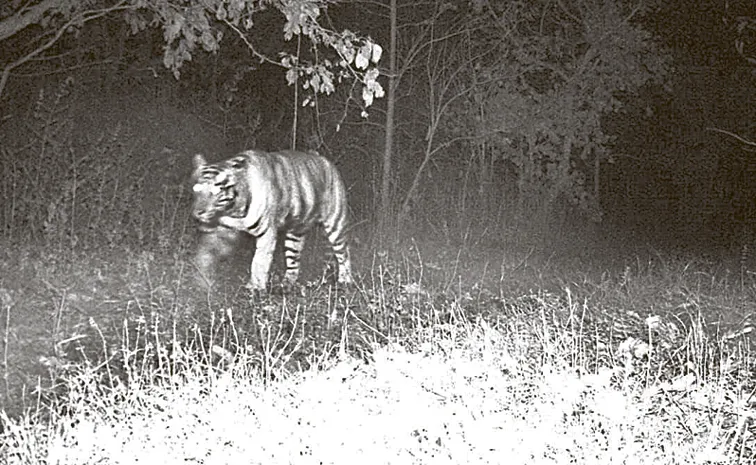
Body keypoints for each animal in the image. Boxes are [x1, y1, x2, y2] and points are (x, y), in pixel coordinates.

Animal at [190, 149, 353, 292]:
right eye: (196, 190)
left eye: (215, 192)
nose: (197, 213)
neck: (234, 211)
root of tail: (323, 159)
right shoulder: (224, 230)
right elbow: (207, 253)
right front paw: (201, 281)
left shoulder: (266, 233)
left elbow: (259, 261)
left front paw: (256, 288)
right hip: (295, 232)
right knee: (293, 259)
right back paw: (286, 284)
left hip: (335, 224)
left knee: (343, 253)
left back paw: (345, 280)